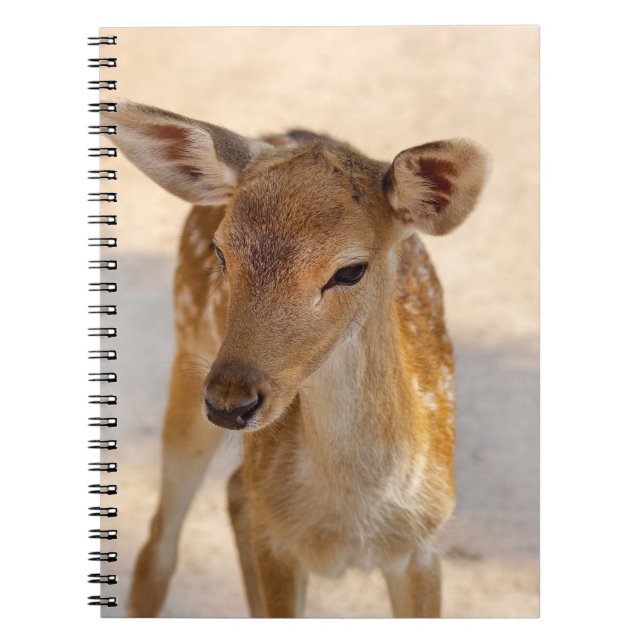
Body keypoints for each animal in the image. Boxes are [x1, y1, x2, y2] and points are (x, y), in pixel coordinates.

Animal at [107, 100, 489, 618]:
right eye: (221, 253)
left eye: (350, 270)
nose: (230, 402)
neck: (351, 520)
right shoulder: (278, 545)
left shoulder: (424, 544)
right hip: (188, 352)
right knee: (158, 547)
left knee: (233, 490)